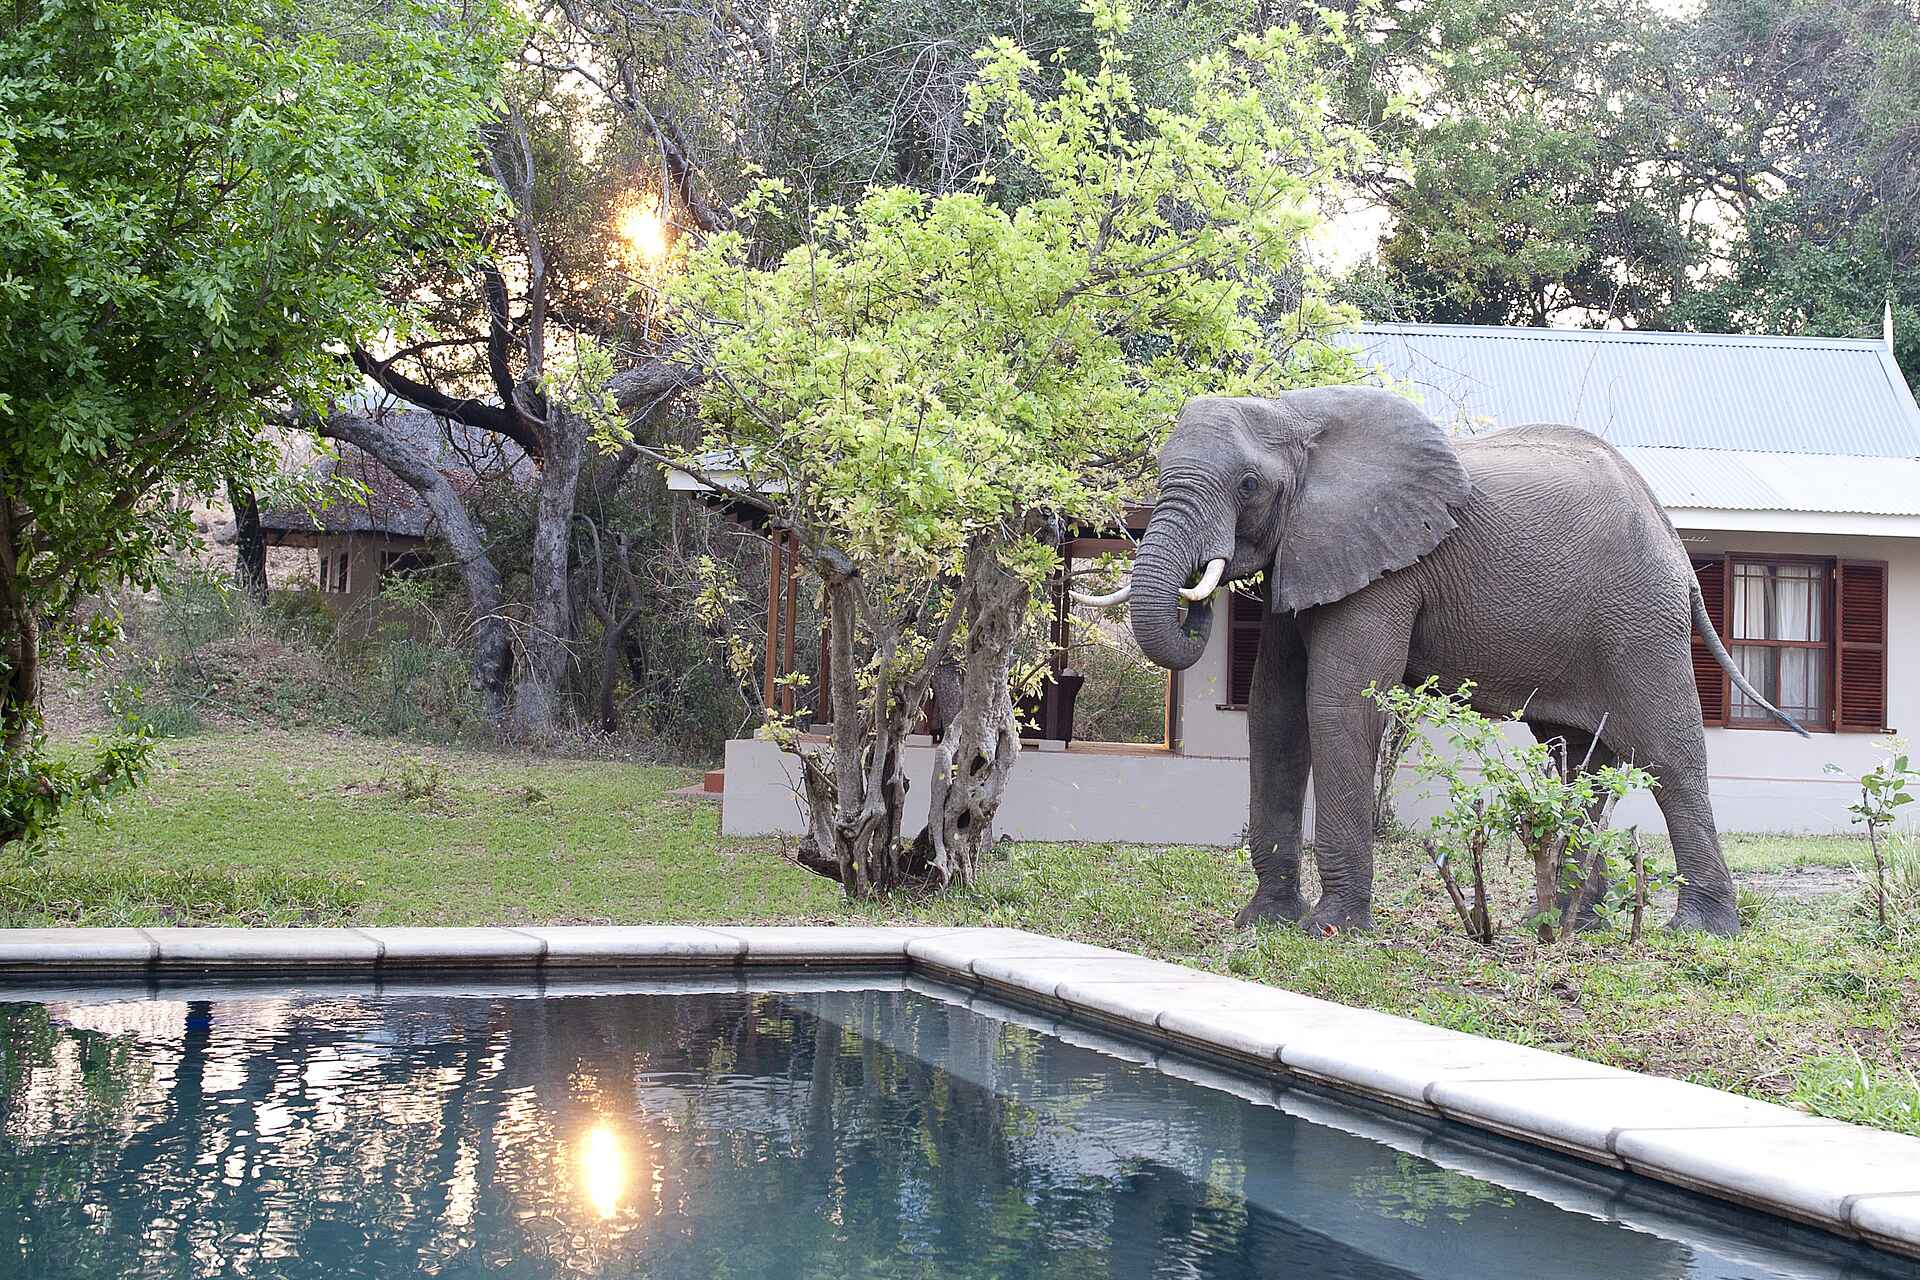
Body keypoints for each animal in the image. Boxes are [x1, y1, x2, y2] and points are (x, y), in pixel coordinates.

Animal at [1087, 386, 1802, 938]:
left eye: (1248, 485)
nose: (1198, 592)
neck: (1297, 418)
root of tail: (1672, 536)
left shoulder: (1385, 566)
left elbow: (1338, 706)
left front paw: (1332, 931)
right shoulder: (1311, 553)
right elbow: (1275, 712)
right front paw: (1263, 924)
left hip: (1640, 618)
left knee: (1667, 753)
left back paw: (1699, 930)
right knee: (1576, 760)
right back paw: (1566, 927)